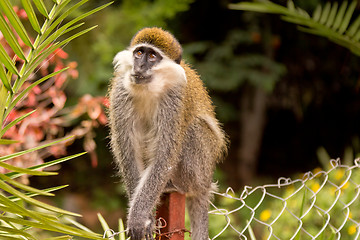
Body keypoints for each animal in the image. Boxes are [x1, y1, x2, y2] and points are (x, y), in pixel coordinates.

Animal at [107, 27, 228, 239]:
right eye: (139, 53)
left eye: (152, 56)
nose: (139, 66)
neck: (149, 88)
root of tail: (205, 185)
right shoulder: (120, 91)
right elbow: (128, 152)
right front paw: (146, 216)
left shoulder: (174, 97)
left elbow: (164, 156)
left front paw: (139, 216)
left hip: (200, 168)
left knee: (193, 128)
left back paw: (174, 185)